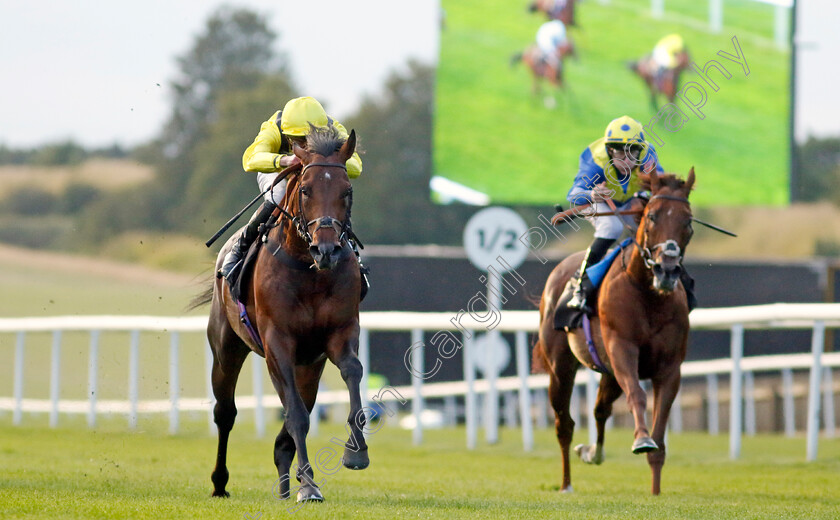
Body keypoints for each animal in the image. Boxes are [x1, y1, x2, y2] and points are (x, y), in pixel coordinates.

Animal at [204, 126, 368, 504]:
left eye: (347, 191)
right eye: (305, 190)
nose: (327, 250)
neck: (308, 268)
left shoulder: (340, 333)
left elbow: (352, 372)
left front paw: (356, 451)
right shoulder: (278, 341)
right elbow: (295, 415)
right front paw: (308, 486)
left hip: (309, 365)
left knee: (293, 419)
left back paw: (283, 485)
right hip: (227, 347)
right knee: (225, 413)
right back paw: (220, 482)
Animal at [540, 170, 696, 496]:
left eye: (688, 221)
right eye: (652, 216)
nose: (667, 270)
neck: (648, 295)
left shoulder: (670, 368)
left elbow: (660, 431)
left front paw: (656, 490)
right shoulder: (623, 351)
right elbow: (637, 395)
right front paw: (641, 440)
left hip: (608, 374)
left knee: (600, 410)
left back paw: (592, 453)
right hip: (561, 368)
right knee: (565, 424)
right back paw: (566, 484)